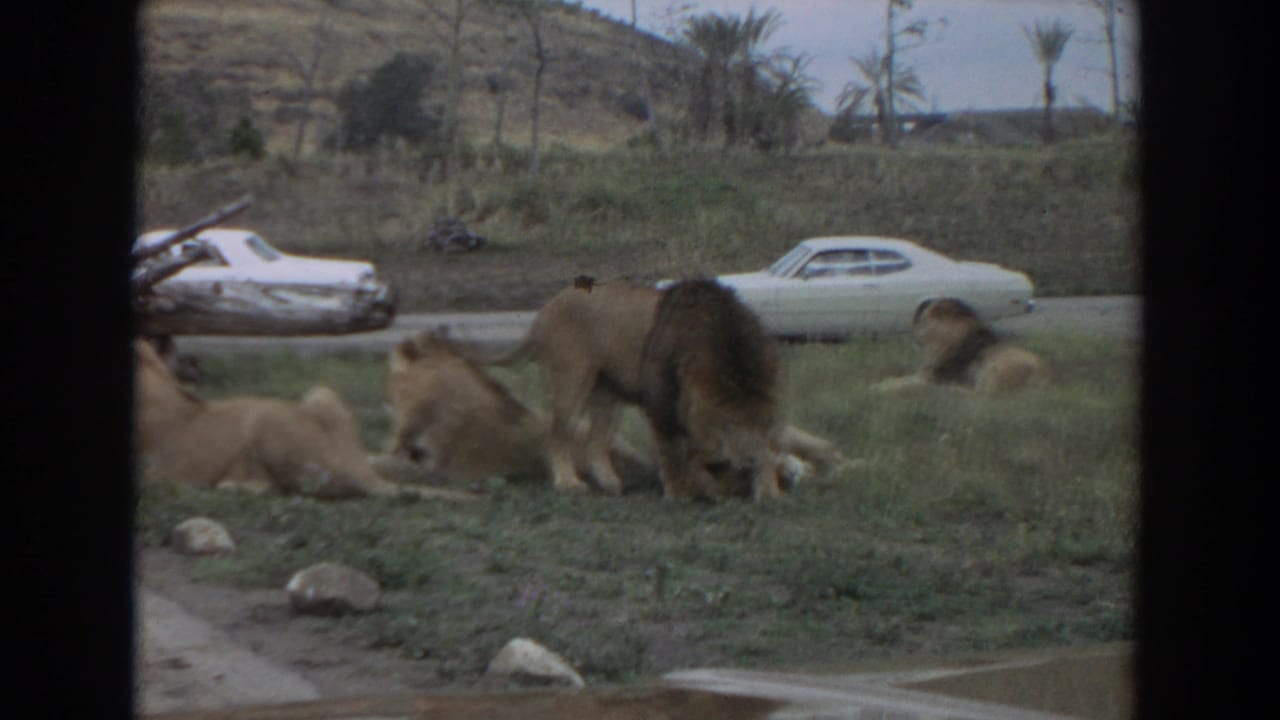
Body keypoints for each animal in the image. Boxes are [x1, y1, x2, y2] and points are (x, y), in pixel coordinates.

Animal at [467, 278, 786, 501]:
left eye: (765, 423)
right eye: (728, 424)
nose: (747, 463)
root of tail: (548, 307)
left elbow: (764, 452)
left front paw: (768, 489)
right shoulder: (661, 403)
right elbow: (673, 453)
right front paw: (680, 492)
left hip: (608, 393)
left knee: (595, 442)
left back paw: (610, 483)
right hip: (572, 379)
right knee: (557, 435)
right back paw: (568, 482)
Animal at [872, 298, 1052, 395]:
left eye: (922, 321)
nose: (912, 337)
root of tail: (1048, 377)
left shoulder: (930, 376)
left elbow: (901, 382)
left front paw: (877, 388)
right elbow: (897, 378)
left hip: (996, 367)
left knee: (981, 395)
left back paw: (949, 390)